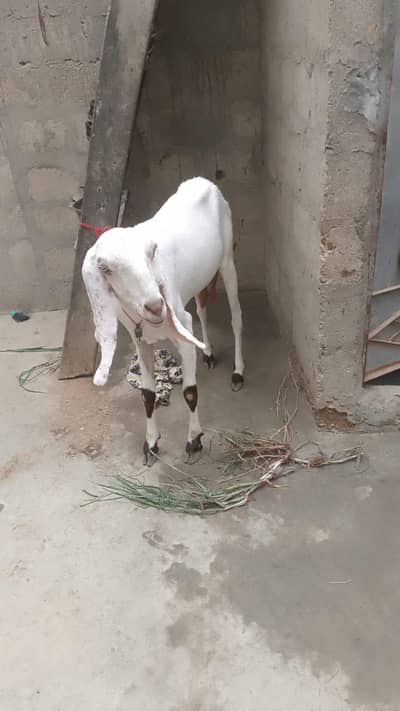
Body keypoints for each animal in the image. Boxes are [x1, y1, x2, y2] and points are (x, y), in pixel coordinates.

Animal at [82, 177, 244, 464]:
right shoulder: (141, 341)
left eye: (151, 253)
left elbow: (190, 392)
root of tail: (203, 181)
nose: (156, 306)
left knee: (236, 316)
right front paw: (151, 443)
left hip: (227, 259)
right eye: (105, 268)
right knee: (201, 309)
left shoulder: (182, 332)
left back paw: (238, 373)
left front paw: (194, 441)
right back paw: (208, 352)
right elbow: (147, 395)